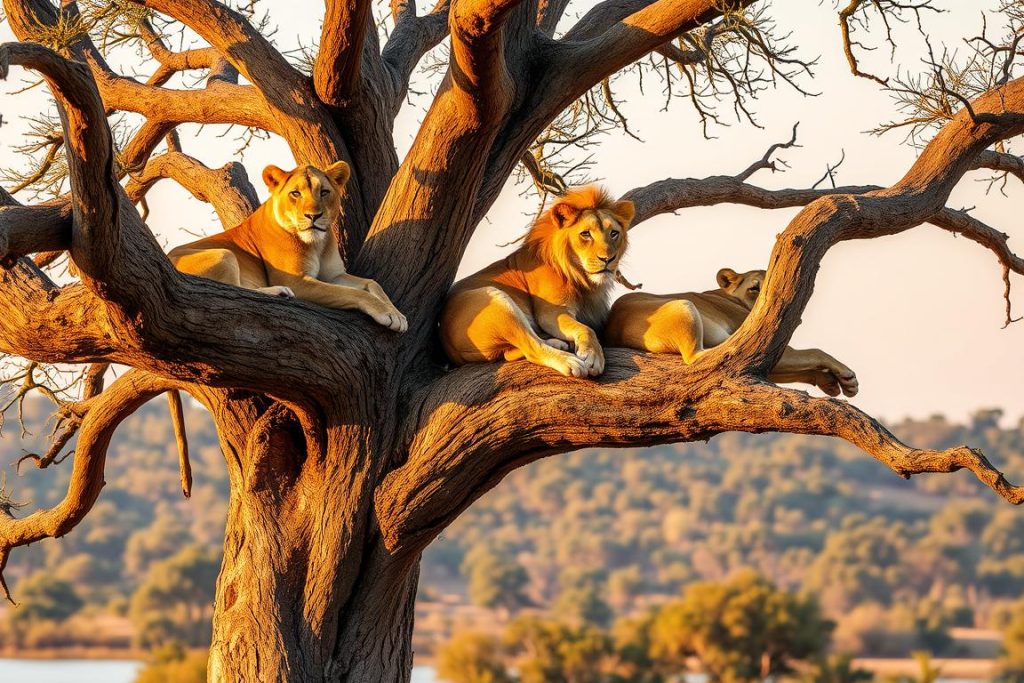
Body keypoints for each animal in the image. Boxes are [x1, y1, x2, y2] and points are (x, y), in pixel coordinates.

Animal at [168, 160, 407, 332]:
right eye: (295, 193)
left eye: (324, 192)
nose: (313, 216)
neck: (317, 244)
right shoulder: (297, 281)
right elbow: (353, 294)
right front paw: (387, 314)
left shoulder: (334, 275)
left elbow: (372, 283)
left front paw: (397, 313)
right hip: (223, 254)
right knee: (233, 289)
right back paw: (279, 292)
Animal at [440, 186, 635, 378]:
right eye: (585, 234)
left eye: (614, 233)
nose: (608, 259)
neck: (583, 278)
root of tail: (449, 348)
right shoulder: (552, 313)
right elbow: (586, 328)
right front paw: (593, 356)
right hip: (495, 299)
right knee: (532, 348)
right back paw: (569, 361)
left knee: (511, 351)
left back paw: (557, 343)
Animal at [604, 268, 859, 397]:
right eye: (754, 288)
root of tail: (614, 327)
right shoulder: (766, 345)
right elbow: (814, 351)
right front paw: (847, 377)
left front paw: (830, 383)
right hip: (684, 305)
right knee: (701, 356)